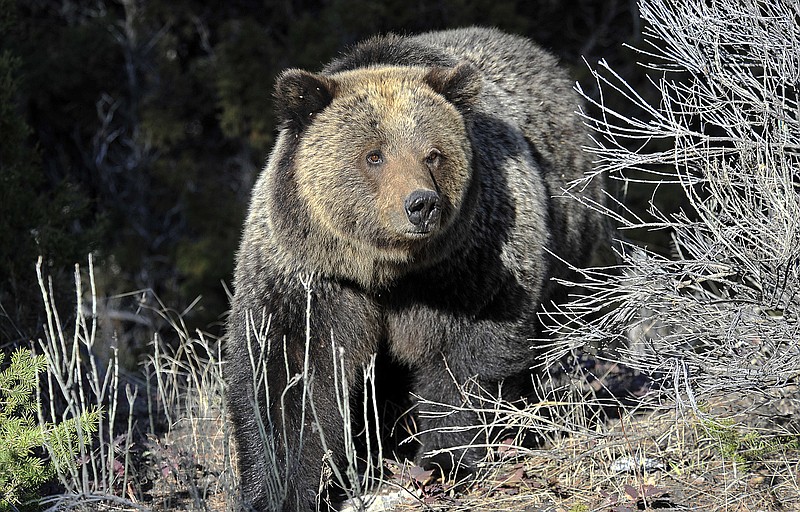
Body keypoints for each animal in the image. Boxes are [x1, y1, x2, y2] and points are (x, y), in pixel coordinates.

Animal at [225, 28, 608, 512]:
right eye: (373, 155)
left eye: (433, 154)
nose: (421, 204)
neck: (386, 271)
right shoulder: (312, 277)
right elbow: (289, 376)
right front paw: (277, 490)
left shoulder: (470, 266)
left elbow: (465, 361)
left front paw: (445, 461)